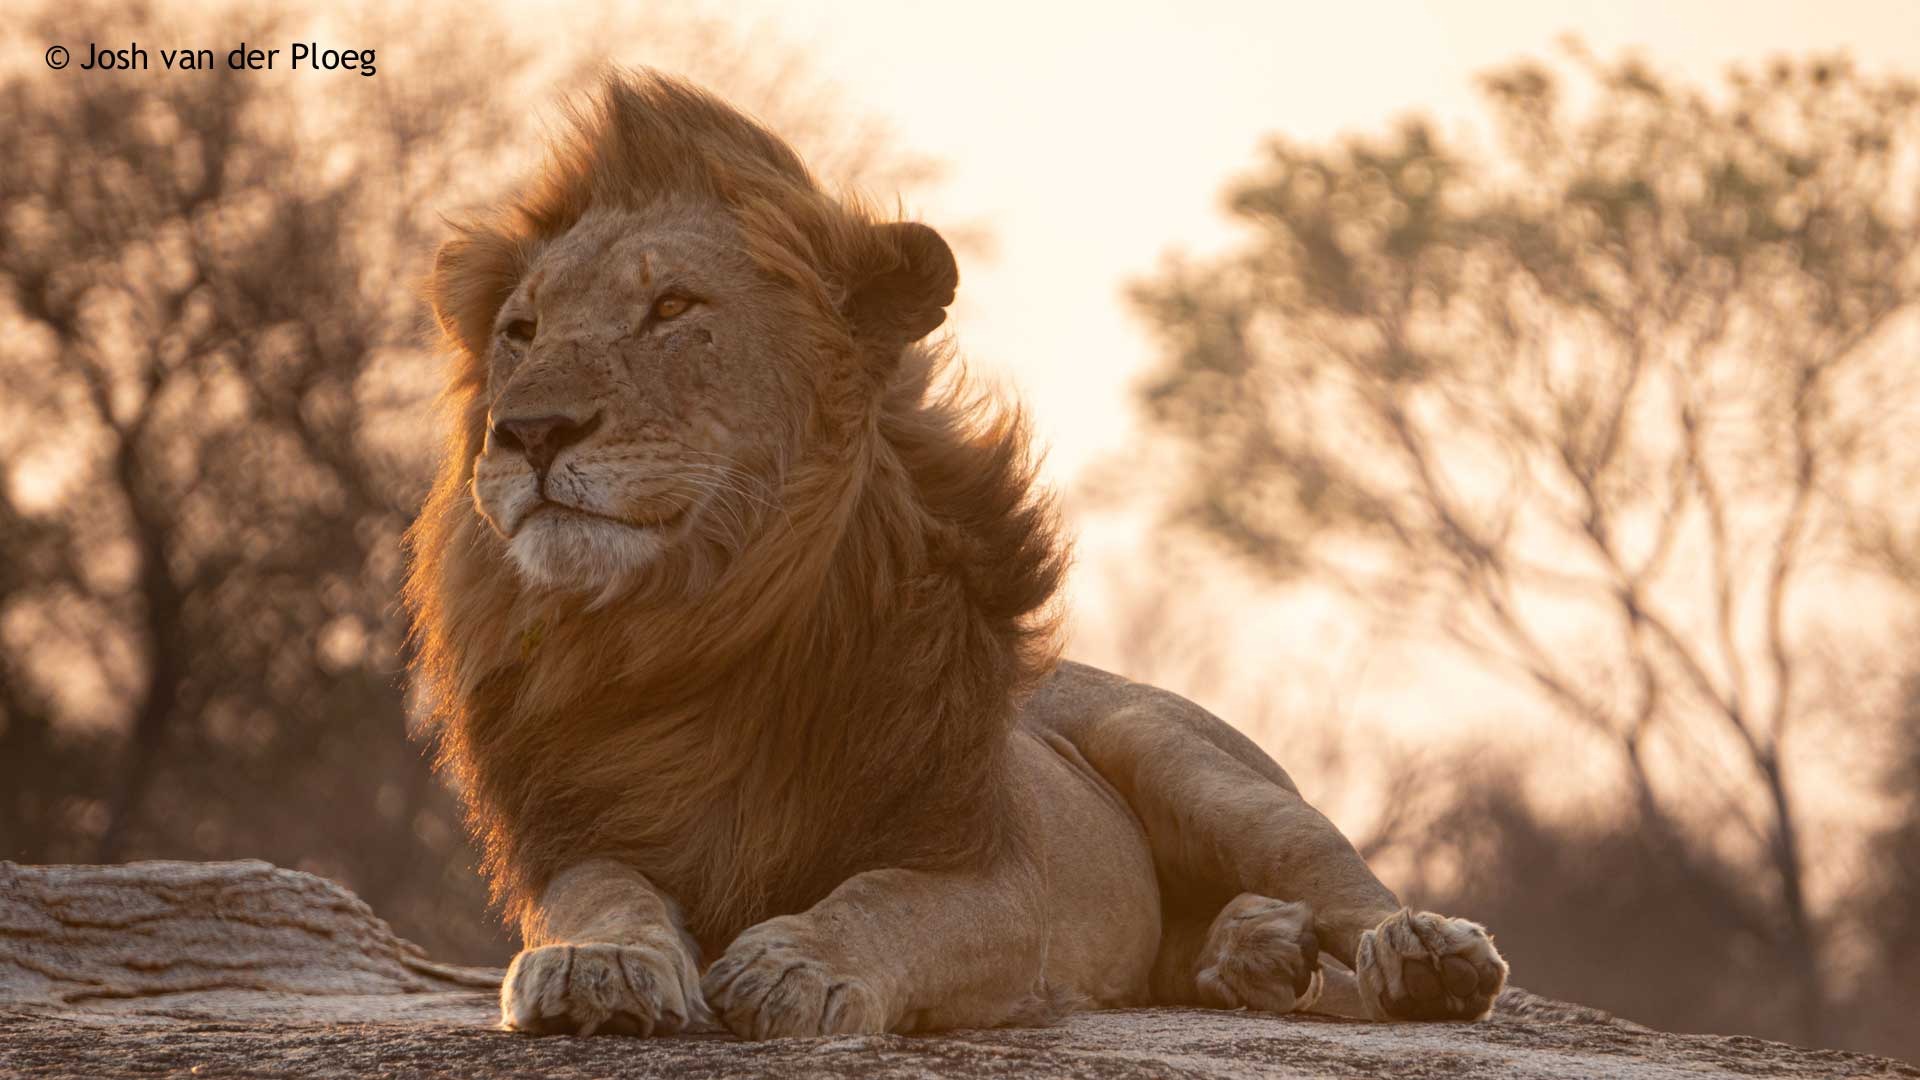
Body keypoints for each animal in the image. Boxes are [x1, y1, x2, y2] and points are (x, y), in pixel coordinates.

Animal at [403, 71, 1509, 1040]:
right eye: (521, 329)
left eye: (674, 308)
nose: (529, 432)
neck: (691, 634)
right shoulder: (577, 836)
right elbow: (599, 891)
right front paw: (599, 964)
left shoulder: (998, 875)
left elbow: (885, 898)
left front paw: (796, 964)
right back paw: (1257, 952)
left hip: (1189, 763)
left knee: (1340, 881)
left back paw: (1422, 953)